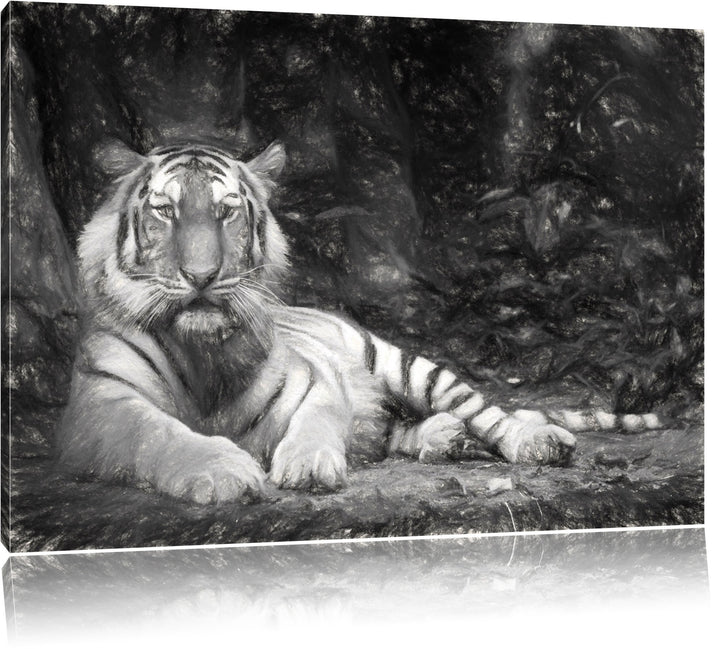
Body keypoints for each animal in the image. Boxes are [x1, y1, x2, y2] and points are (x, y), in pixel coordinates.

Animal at [56, 139, 664, 505]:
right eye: (165, 211)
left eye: (227, 211)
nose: (203, 275)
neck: (203, 350)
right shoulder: (101, 403)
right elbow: (157, 432)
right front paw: (224, 472)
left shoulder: (316, 376)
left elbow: (319, 417)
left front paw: (307, 467)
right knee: (392, 430)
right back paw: (442, 438)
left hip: (407, 364)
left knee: (489, 414)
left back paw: (535, 442)